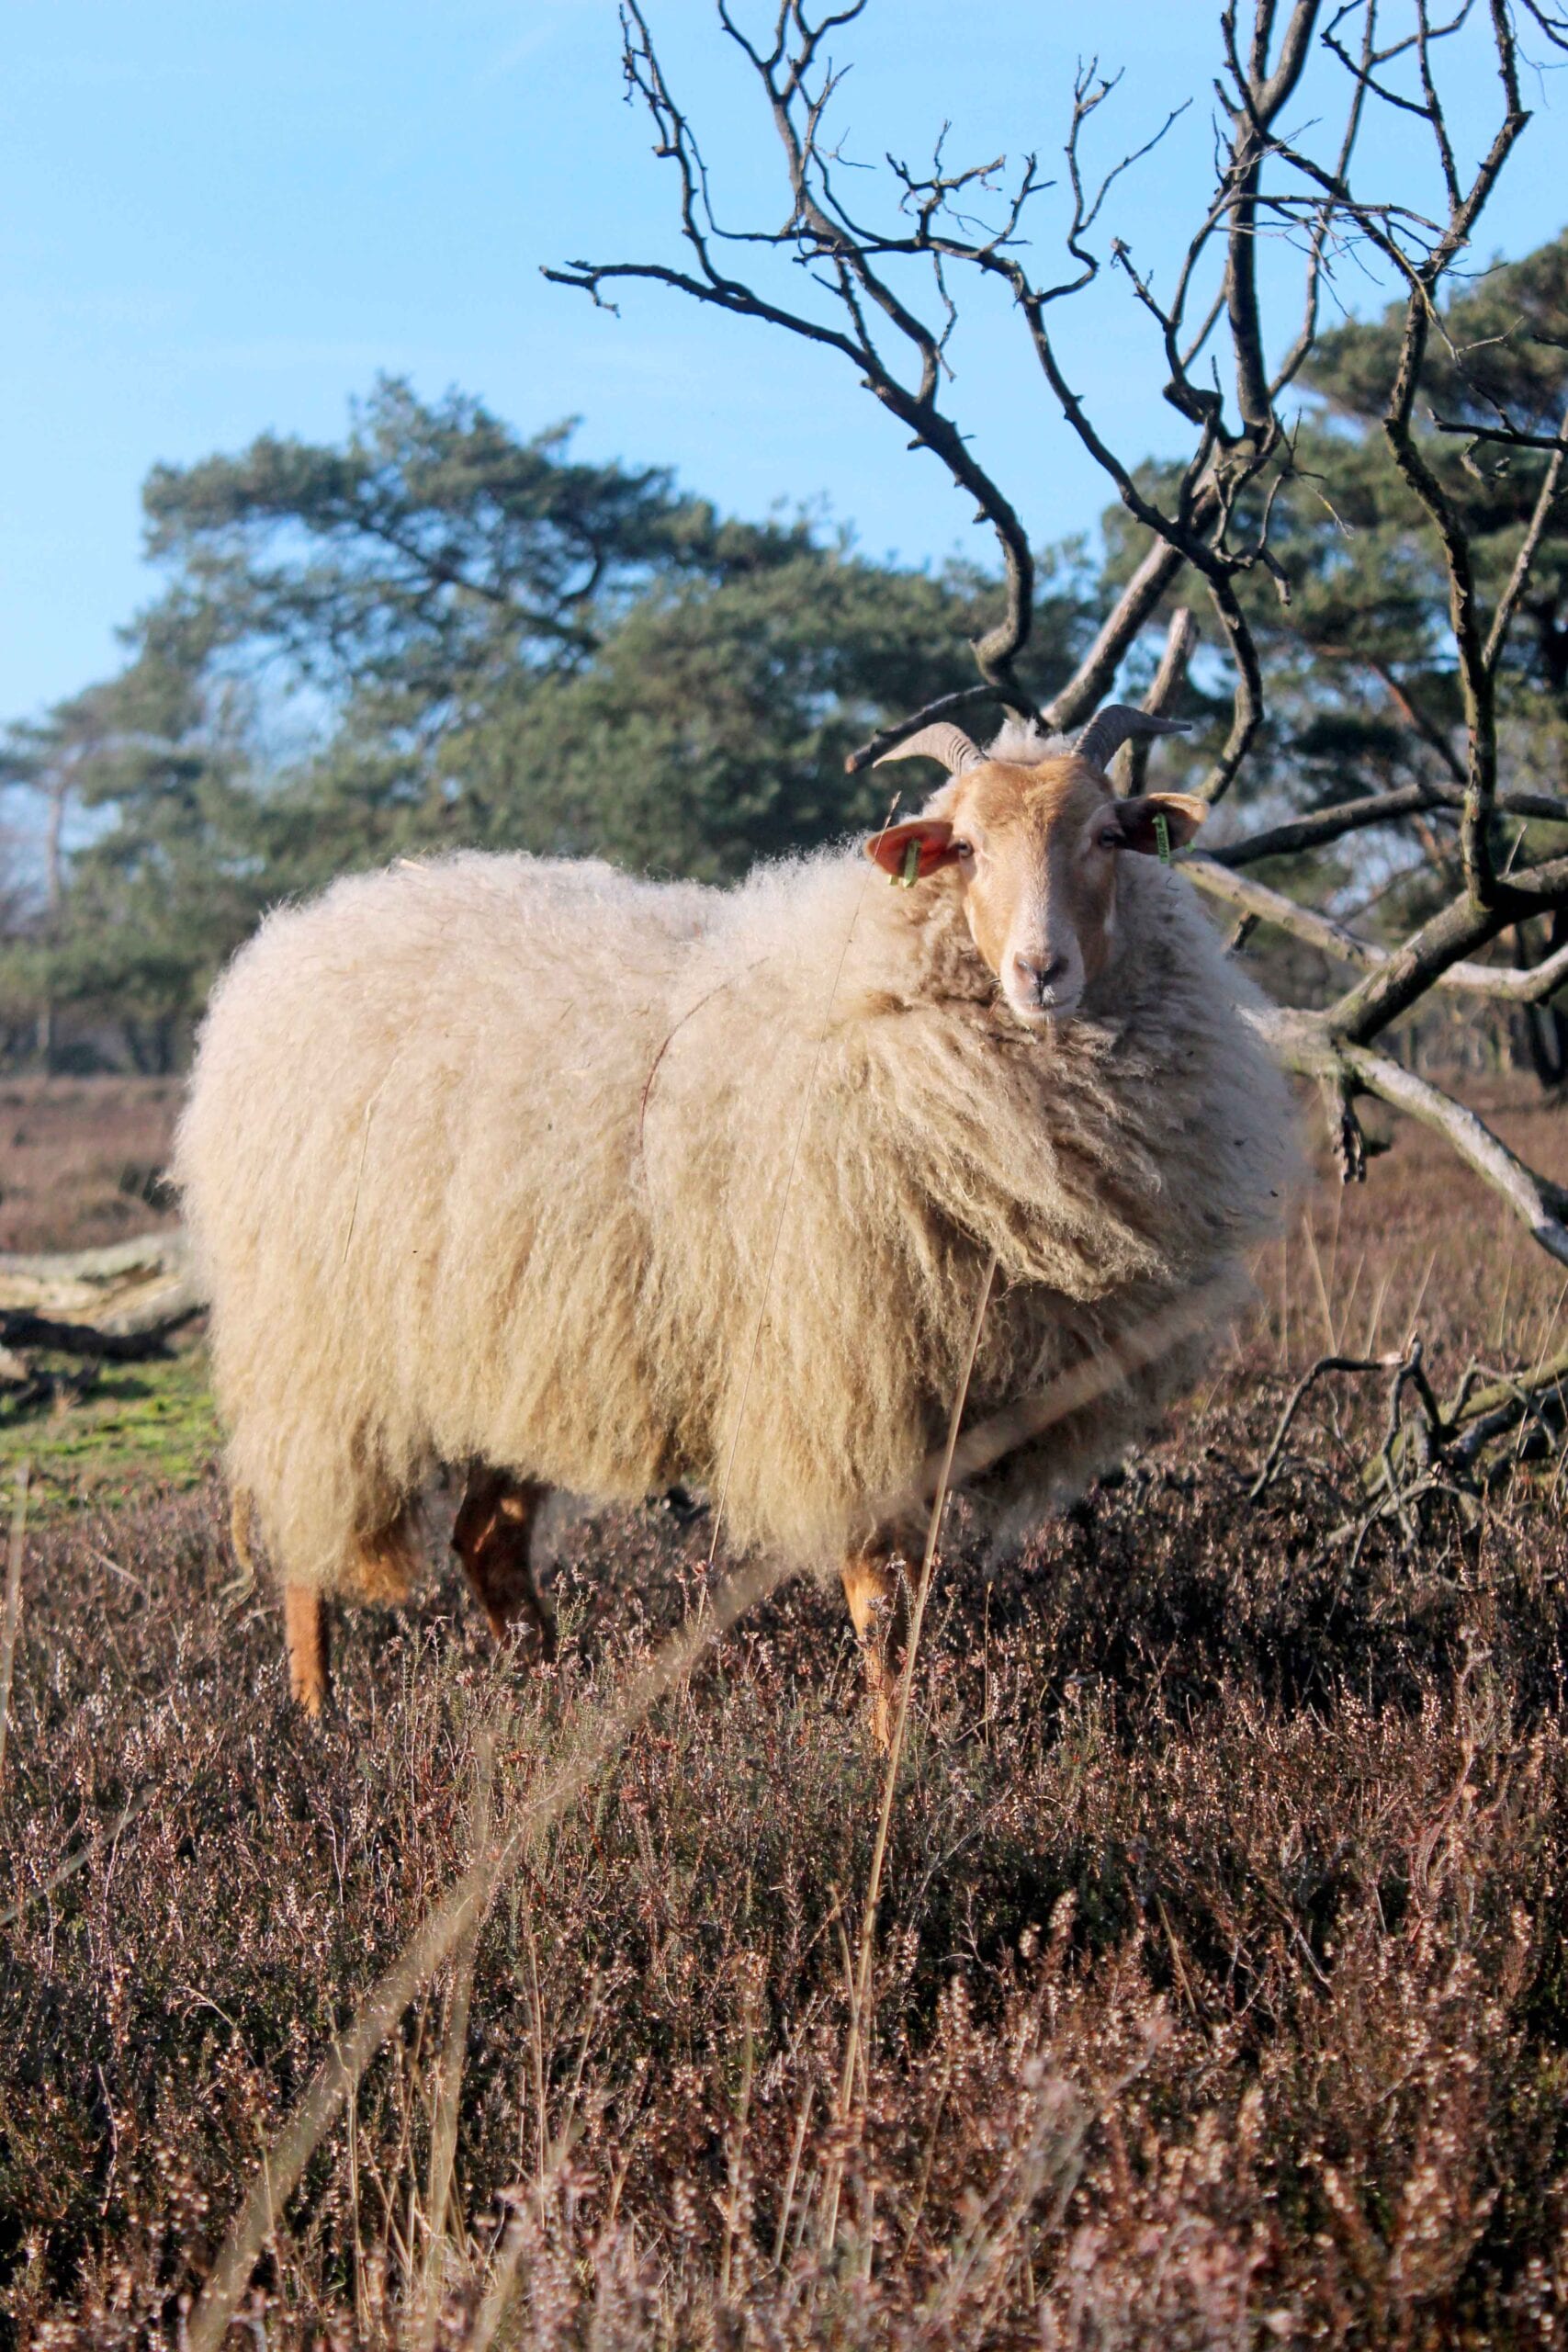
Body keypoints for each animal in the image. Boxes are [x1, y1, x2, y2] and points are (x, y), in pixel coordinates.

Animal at [175, 695, 1297, 1731]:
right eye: (964, 848)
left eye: (1107, 835)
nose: (1040, 971)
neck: (868, 993)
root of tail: (292, 944)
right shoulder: (844, 1379)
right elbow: (881, 1603)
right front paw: (894, 1754)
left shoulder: (944, 1395)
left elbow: (919, 1596)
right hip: (322, 1353)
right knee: (309, 1547)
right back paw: (321, 1721)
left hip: (512, 1352)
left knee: (485, 1542)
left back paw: (552, 1698)